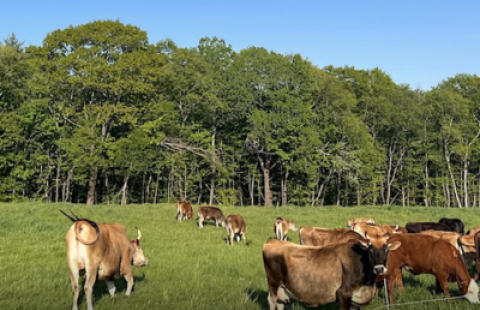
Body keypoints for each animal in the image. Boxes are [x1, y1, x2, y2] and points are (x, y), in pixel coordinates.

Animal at [262, 236, 402, 308]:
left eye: (386, 249)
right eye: (370, 249)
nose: (379, 269)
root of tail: (272, 241)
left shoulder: (356, 301)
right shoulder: (344, 294)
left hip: (282, 287)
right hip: (273, 283)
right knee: (272, 300)